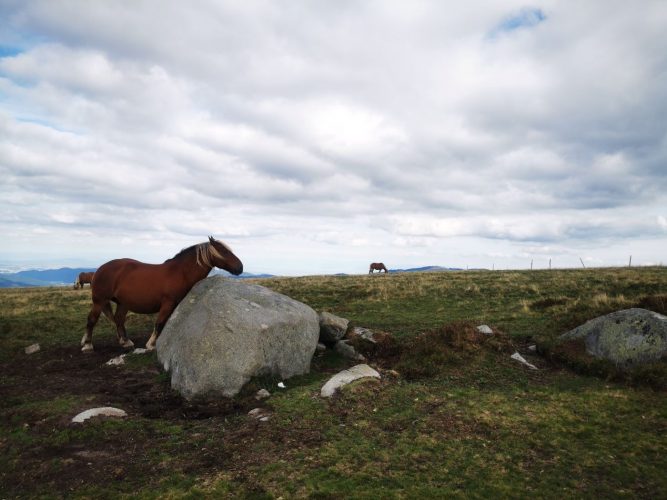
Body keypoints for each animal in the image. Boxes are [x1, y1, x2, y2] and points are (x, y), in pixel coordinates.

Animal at [81, 236, 243, 353]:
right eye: (225, 252)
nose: (240, 267)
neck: (180, 273)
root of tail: (99, 270)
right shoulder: (167, 303)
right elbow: (159, 323)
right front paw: (151, 344)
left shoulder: (174, 305)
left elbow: (165, 324)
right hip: (99, 301)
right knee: (92, 320)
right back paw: (88, 345)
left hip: (122, 303)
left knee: (119, 320)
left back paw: (126, 342)